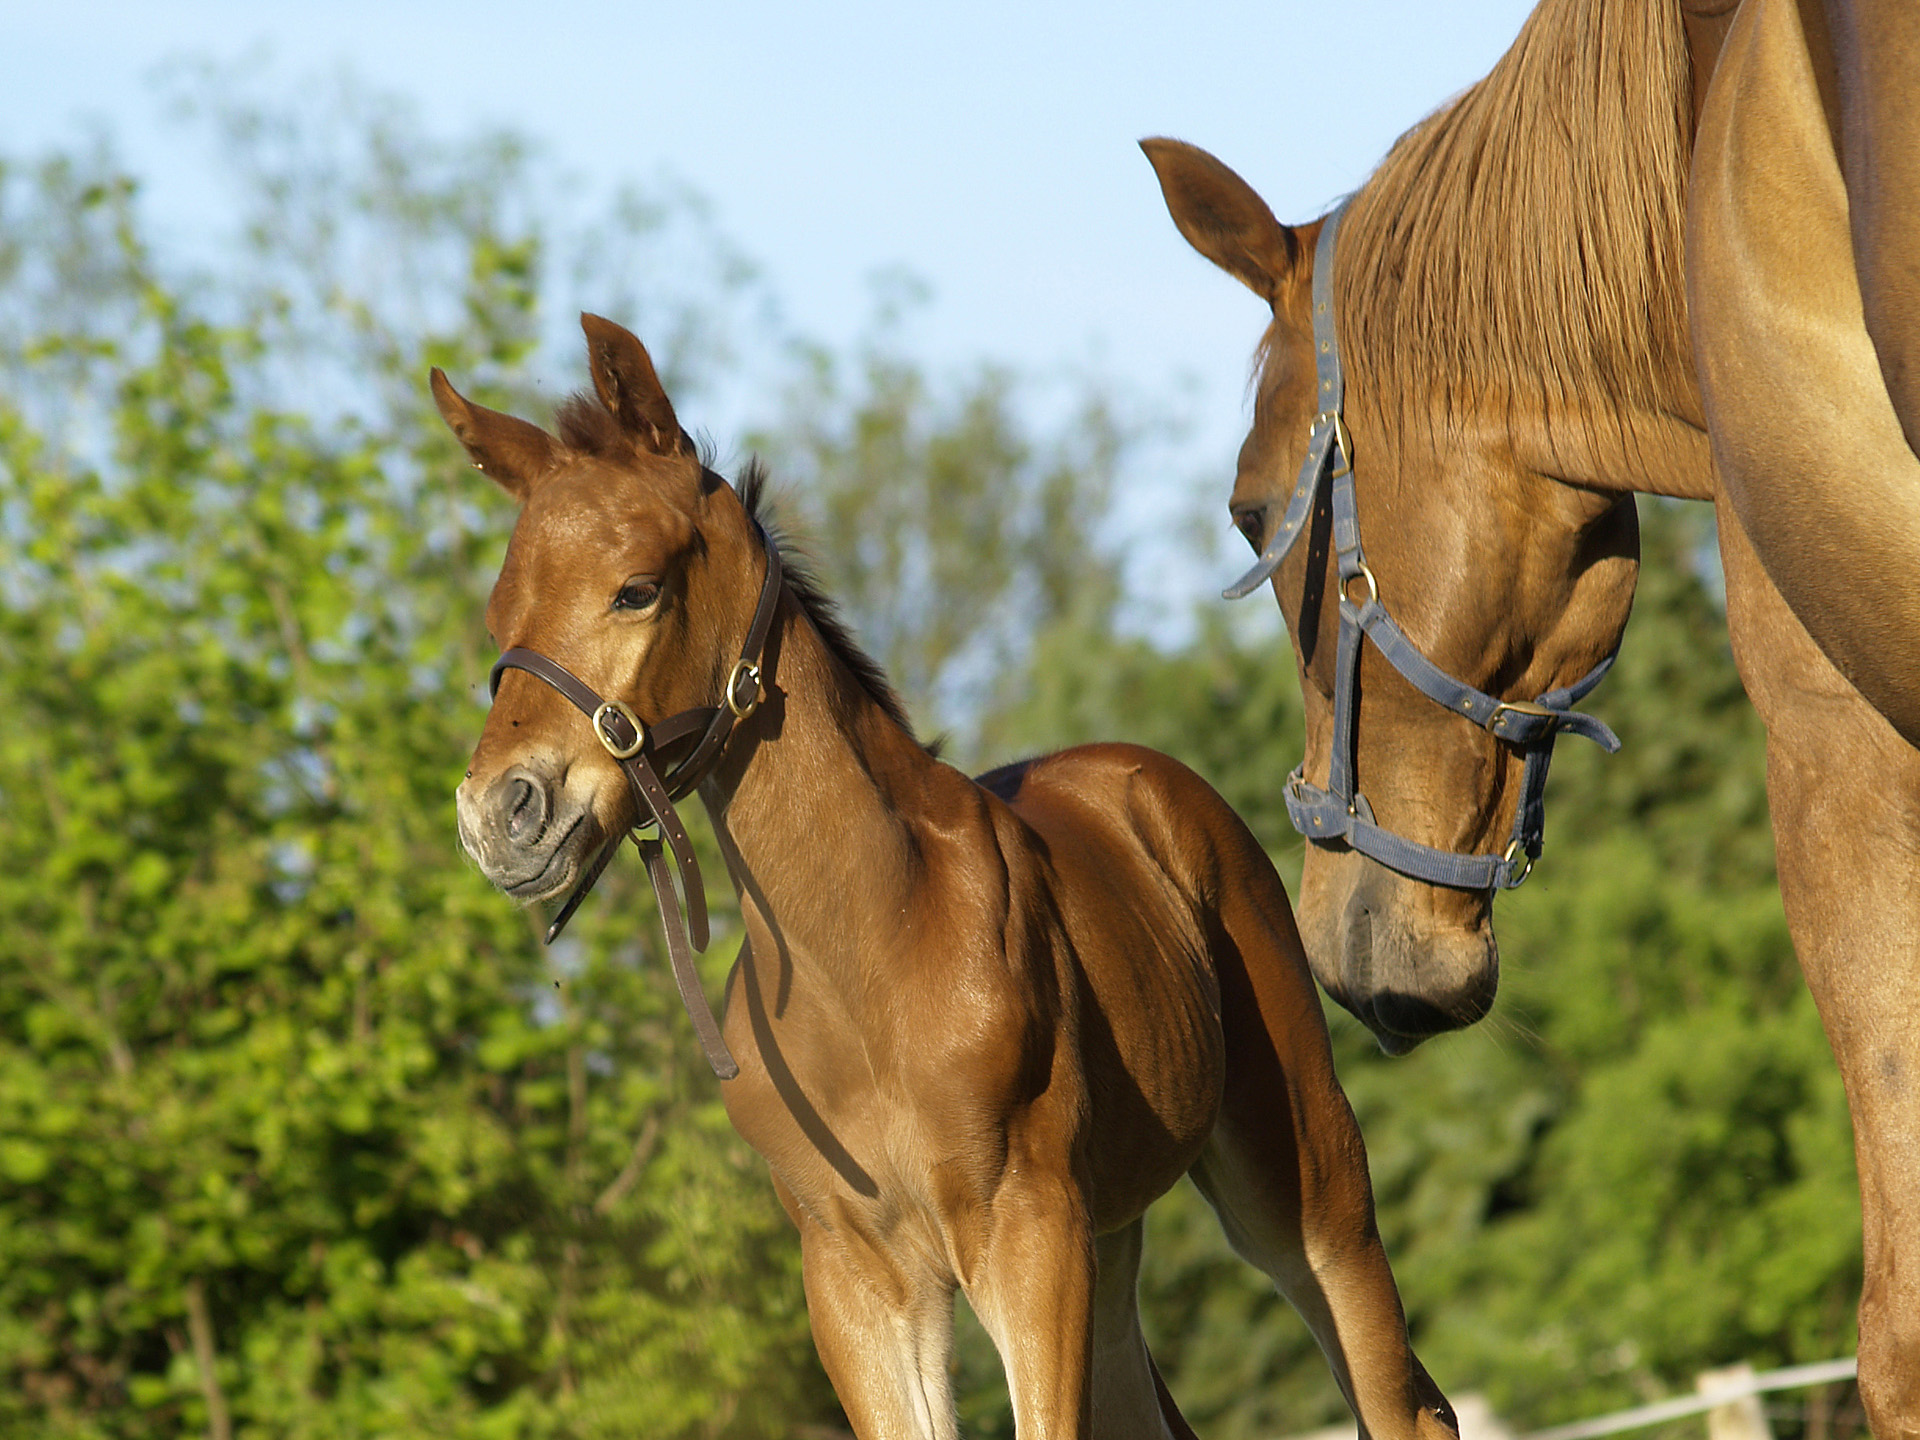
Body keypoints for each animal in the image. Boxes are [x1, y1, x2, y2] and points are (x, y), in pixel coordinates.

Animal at [435, 318, 1451, 1440]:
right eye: (499, 617)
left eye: (637, 588)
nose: (500, 814)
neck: (867, 956)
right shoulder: (855, 1274)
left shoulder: (1026, 1229)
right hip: (1112, 1237)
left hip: (1303, 1174)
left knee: (1403, 1400)